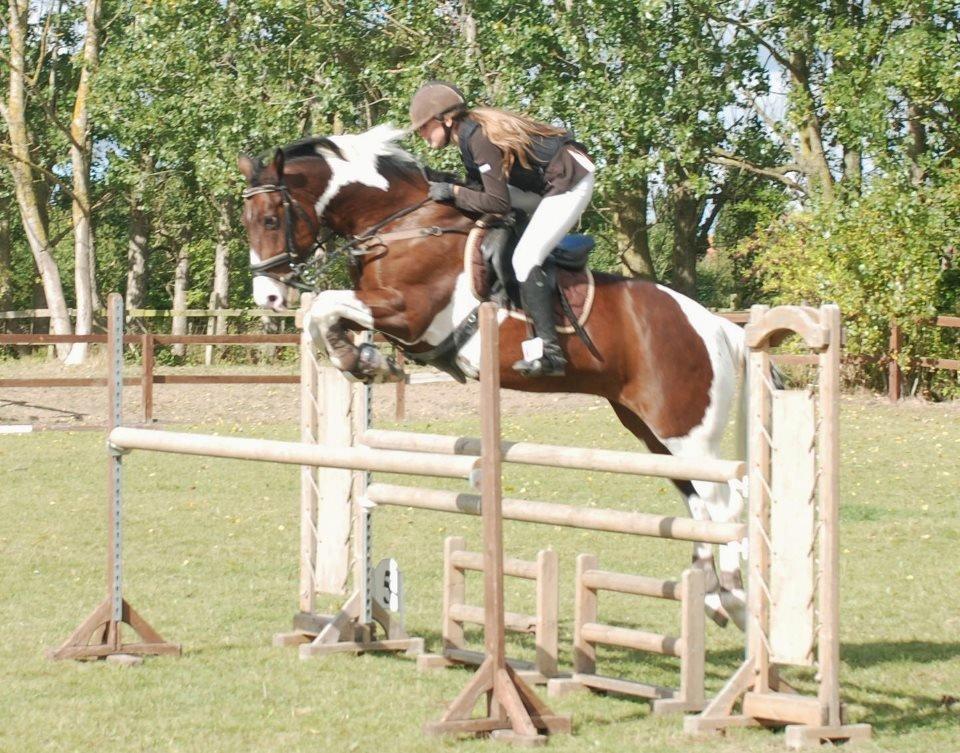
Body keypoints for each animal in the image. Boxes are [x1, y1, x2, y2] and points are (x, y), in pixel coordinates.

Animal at [238, 124, 749, 628]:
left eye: (270, 220)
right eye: (245, 222)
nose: (268, 298)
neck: (400, 224)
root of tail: (716, 326)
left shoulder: (409, 313)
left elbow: (324, 306)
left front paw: (363, 360)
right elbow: (324, 317)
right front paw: (361, 359)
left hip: (685, 430)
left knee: (724, 502)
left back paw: (736, 596)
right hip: (649, 430)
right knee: (697, 501)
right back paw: (712, 596)